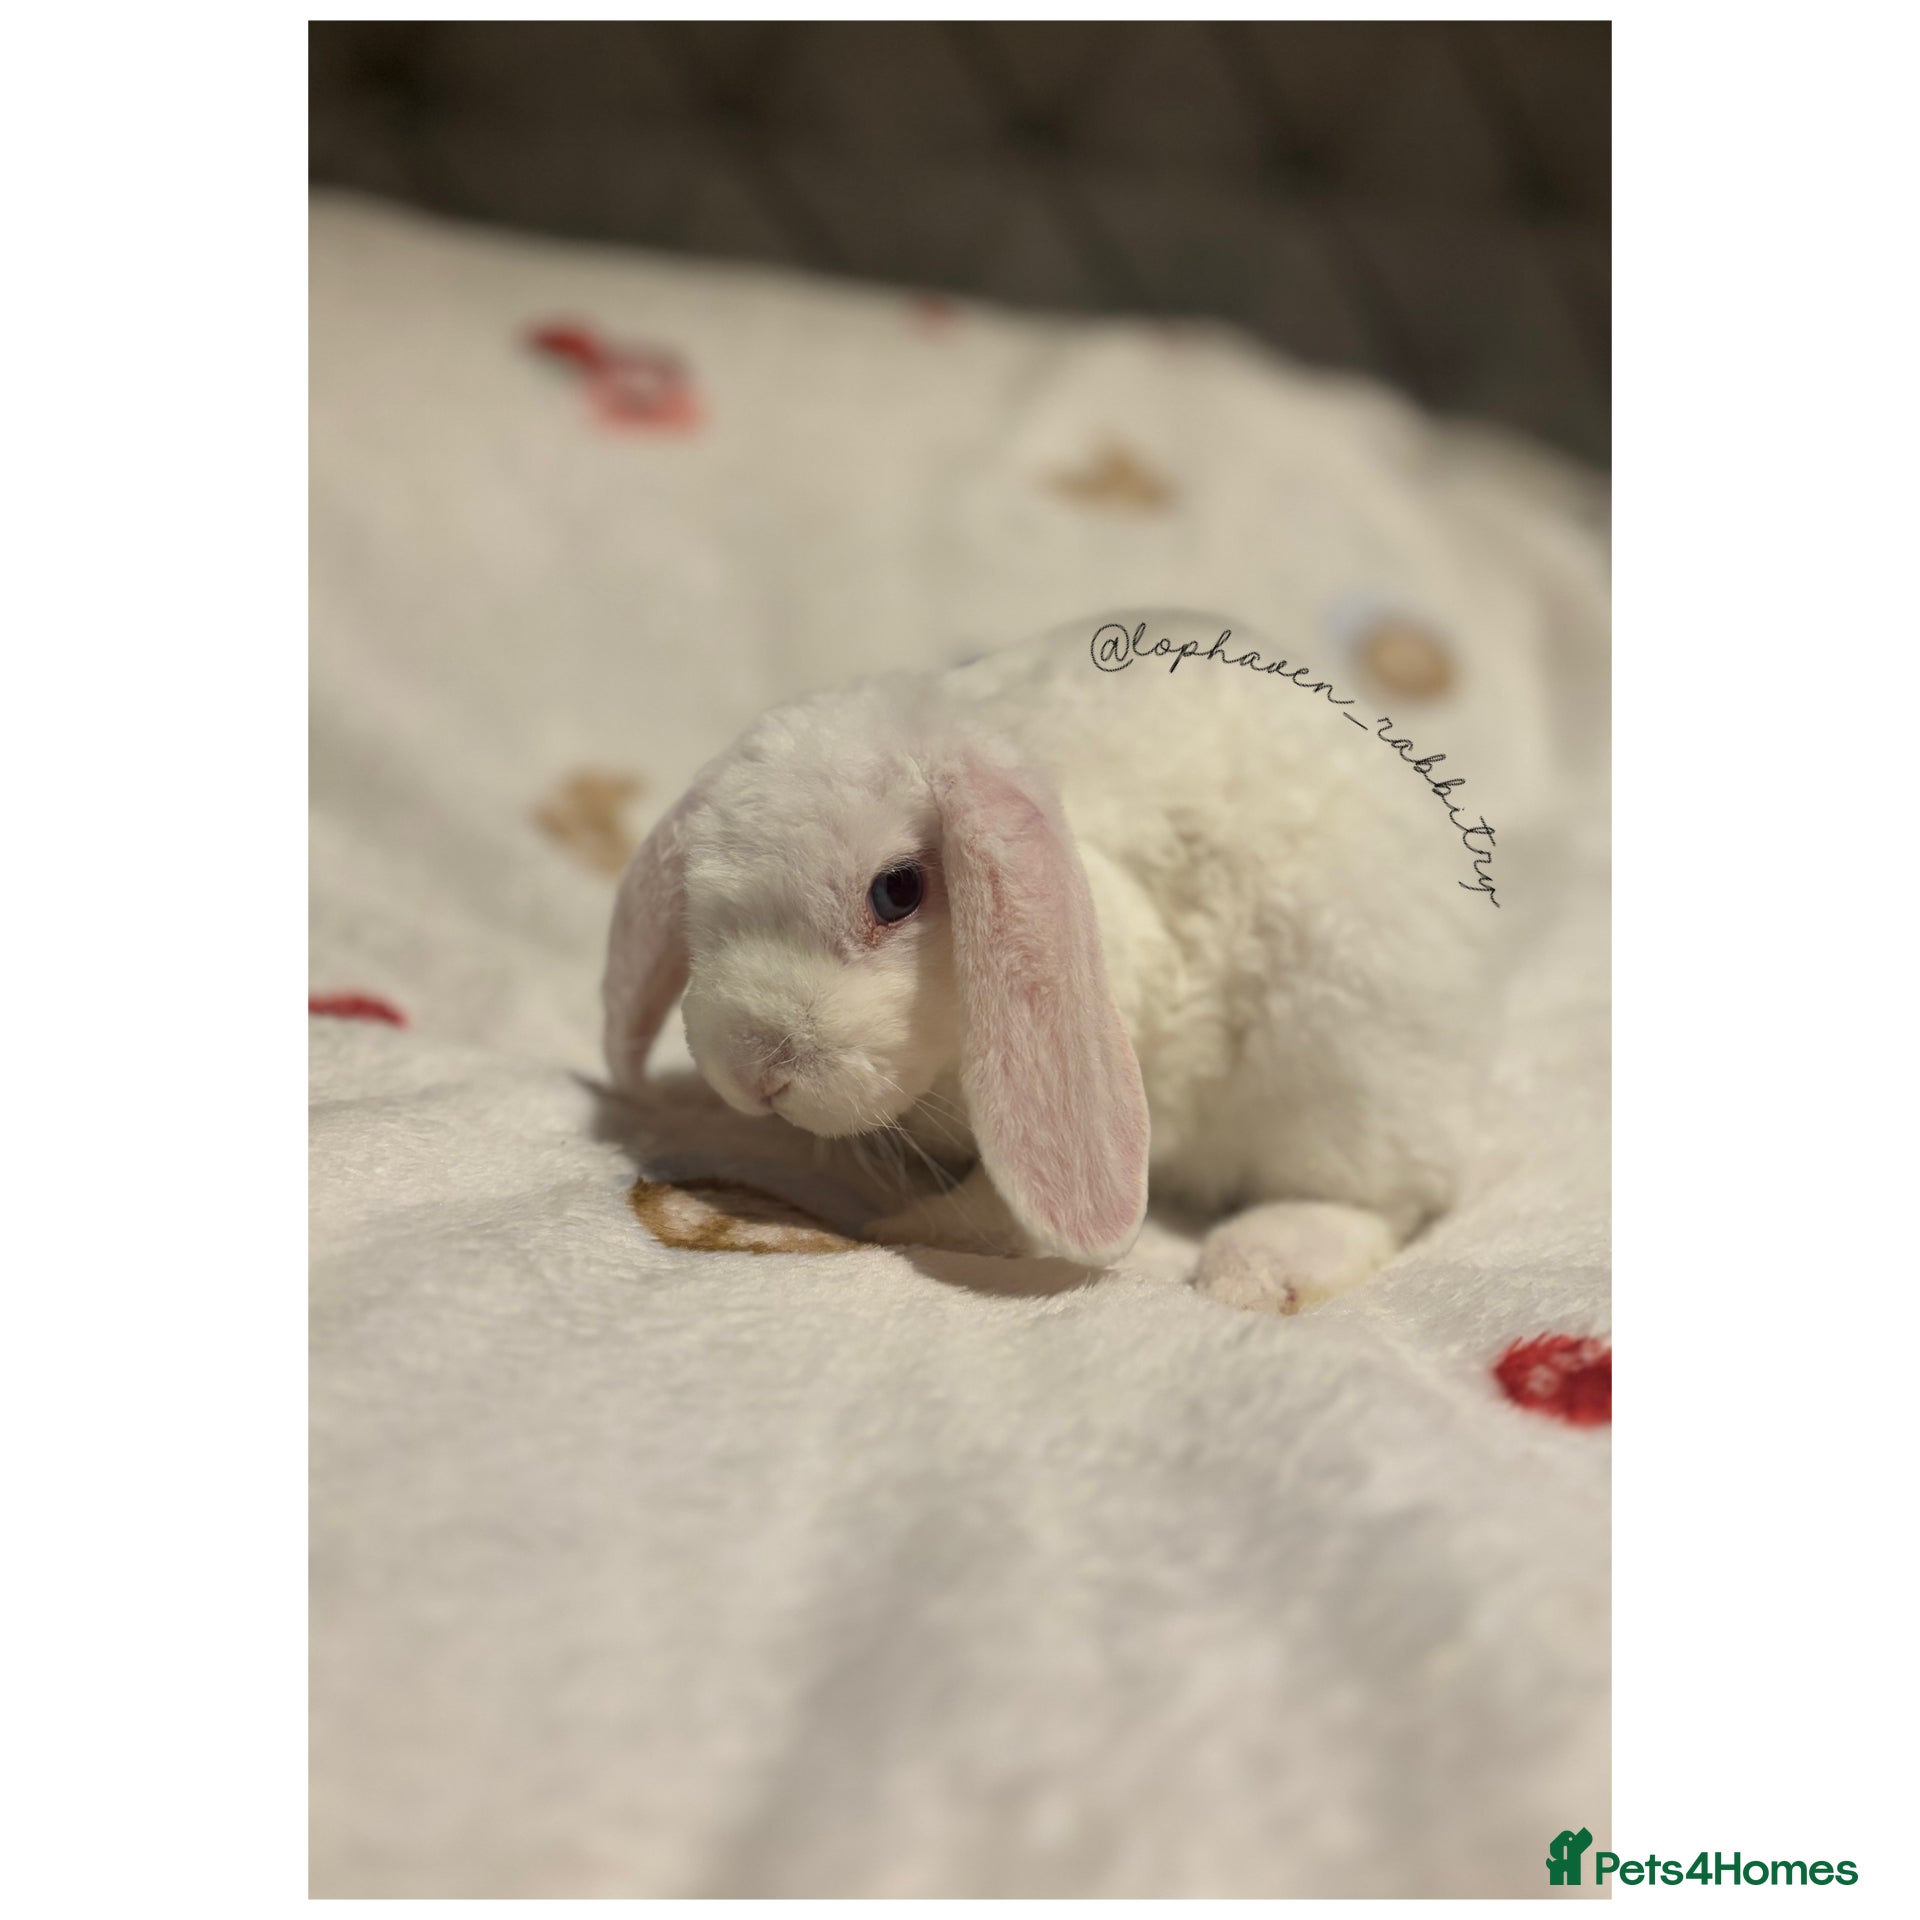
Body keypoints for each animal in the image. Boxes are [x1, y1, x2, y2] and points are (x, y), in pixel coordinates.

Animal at [603, 609, 1511, 1311]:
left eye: (897, 891)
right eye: (698, 897)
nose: (755, 1072)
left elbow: (1003, 1209)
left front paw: (900, 1229)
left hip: (1336, 1069)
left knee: (1375, 1203)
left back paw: (1255, 1269)